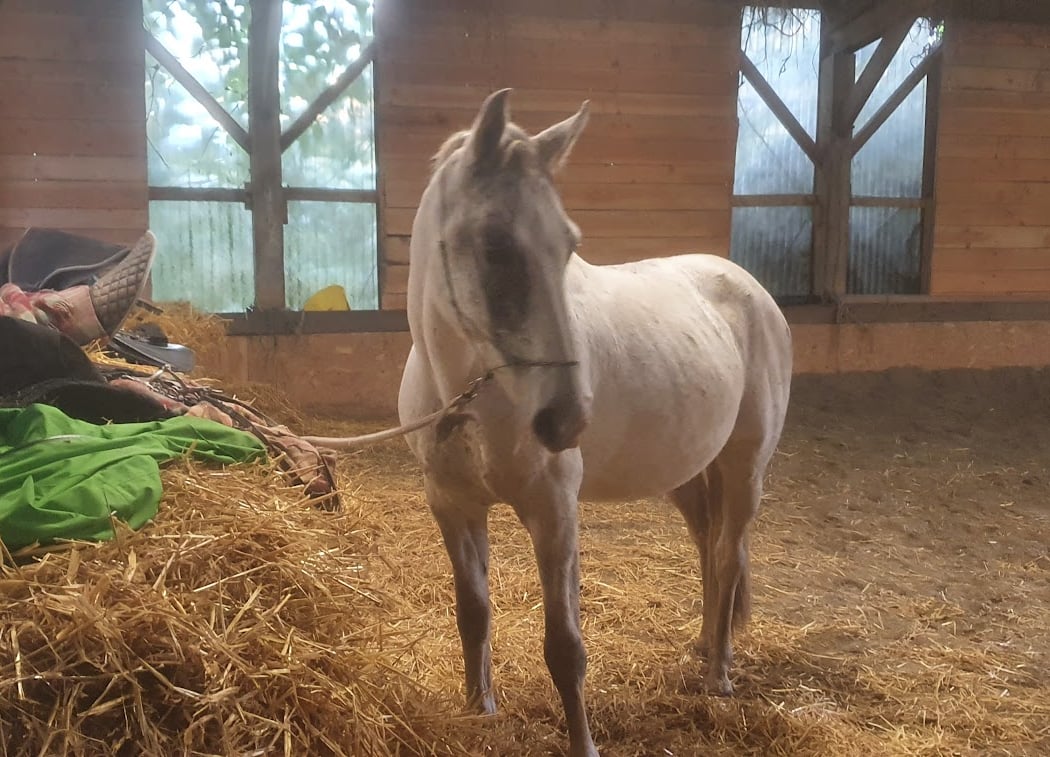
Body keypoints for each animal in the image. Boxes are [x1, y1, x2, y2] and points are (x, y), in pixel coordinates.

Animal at [396, 89, 793, 757]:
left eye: (569, 245)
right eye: (495, 245)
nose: (566, 420)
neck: (471, 398)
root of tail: (751, 289)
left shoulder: (555, 511)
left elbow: (565, 648)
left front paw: (582, 742)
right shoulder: (451, 505)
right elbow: (473, 613)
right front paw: (480, 710)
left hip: (745, 469)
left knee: (728, 553)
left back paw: (718, 674)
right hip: (686, 473)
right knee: (708, 548)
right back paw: (701, 645)